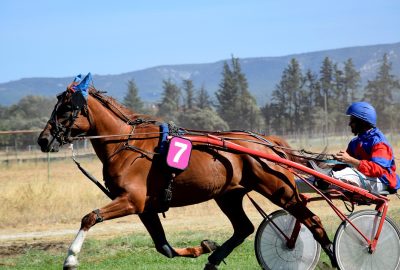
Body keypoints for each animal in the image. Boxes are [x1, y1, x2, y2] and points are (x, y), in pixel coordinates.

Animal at [37, 83, 336, 268]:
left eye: (65, 109)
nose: (43, 140)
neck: (127, 144)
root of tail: (266, 142)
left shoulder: (131, 200)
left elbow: (89, 217)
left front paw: (70, 259)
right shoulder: (145, 207)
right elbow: (164, 247)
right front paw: (202, 247)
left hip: (279, 190)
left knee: (313, 220)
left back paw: (334, 255)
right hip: (228, 195)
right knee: (244, 228)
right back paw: (213, 259)